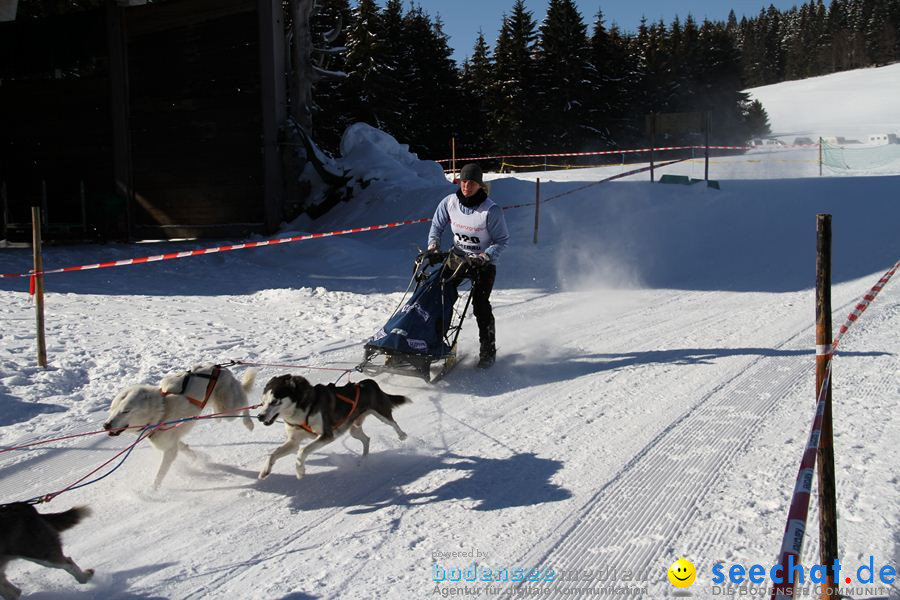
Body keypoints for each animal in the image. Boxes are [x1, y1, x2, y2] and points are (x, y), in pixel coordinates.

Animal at [103, 366, 256, 488]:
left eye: (125, 411)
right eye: (111, 410)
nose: (106, 425)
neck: (162, 410)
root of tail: (224, 370)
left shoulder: (169, 451)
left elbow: (160, 473)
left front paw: (151, 491)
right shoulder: (172, 441)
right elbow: (184, 448)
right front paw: (195, 457)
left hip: (229, 411)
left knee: (244, 400)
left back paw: (249, 422)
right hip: (223, 410)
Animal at [253, 378, 408, 480]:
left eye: (274, 401)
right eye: (262, 402)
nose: (260, 416)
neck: (304, 409)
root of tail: (367, 382)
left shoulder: (326, 435)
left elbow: (302, 450)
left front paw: (300, 471)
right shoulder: (293, 441)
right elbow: (273, 453)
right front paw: (265, 470)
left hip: (381, 413)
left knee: (393, 423)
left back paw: (402, 435)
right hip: (353, 429)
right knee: (366, 439)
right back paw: (363, 459)